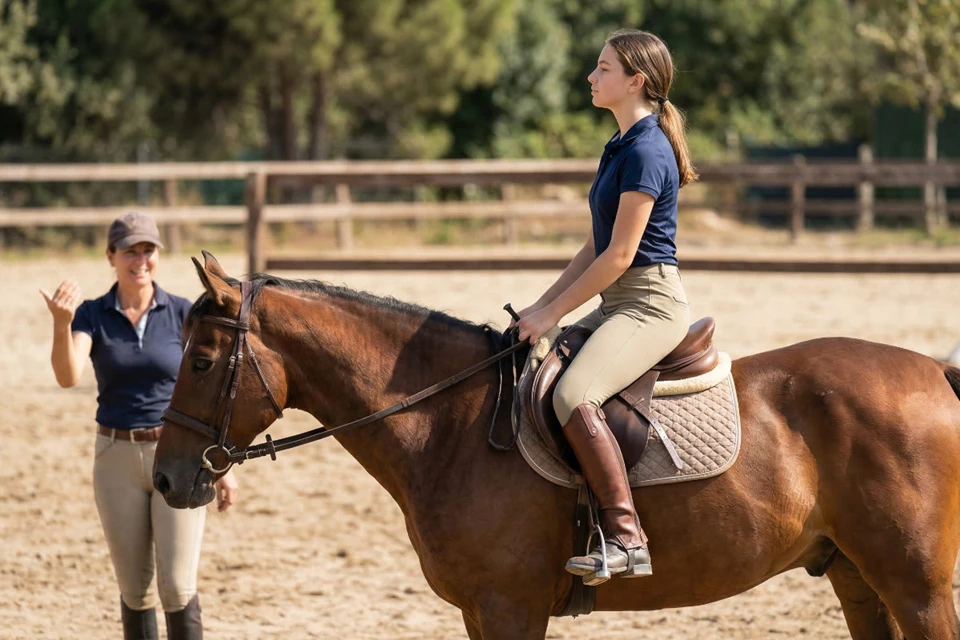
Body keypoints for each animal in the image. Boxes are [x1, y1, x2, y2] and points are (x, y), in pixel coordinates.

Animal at [154, 252, 960, 639]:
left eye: (202, 362)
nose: (165, 481)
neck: (450, 424)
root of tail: (934, 371)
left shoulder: (510, 607)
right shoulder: (481, 612)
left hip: (917, 588)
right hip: (857, 578)